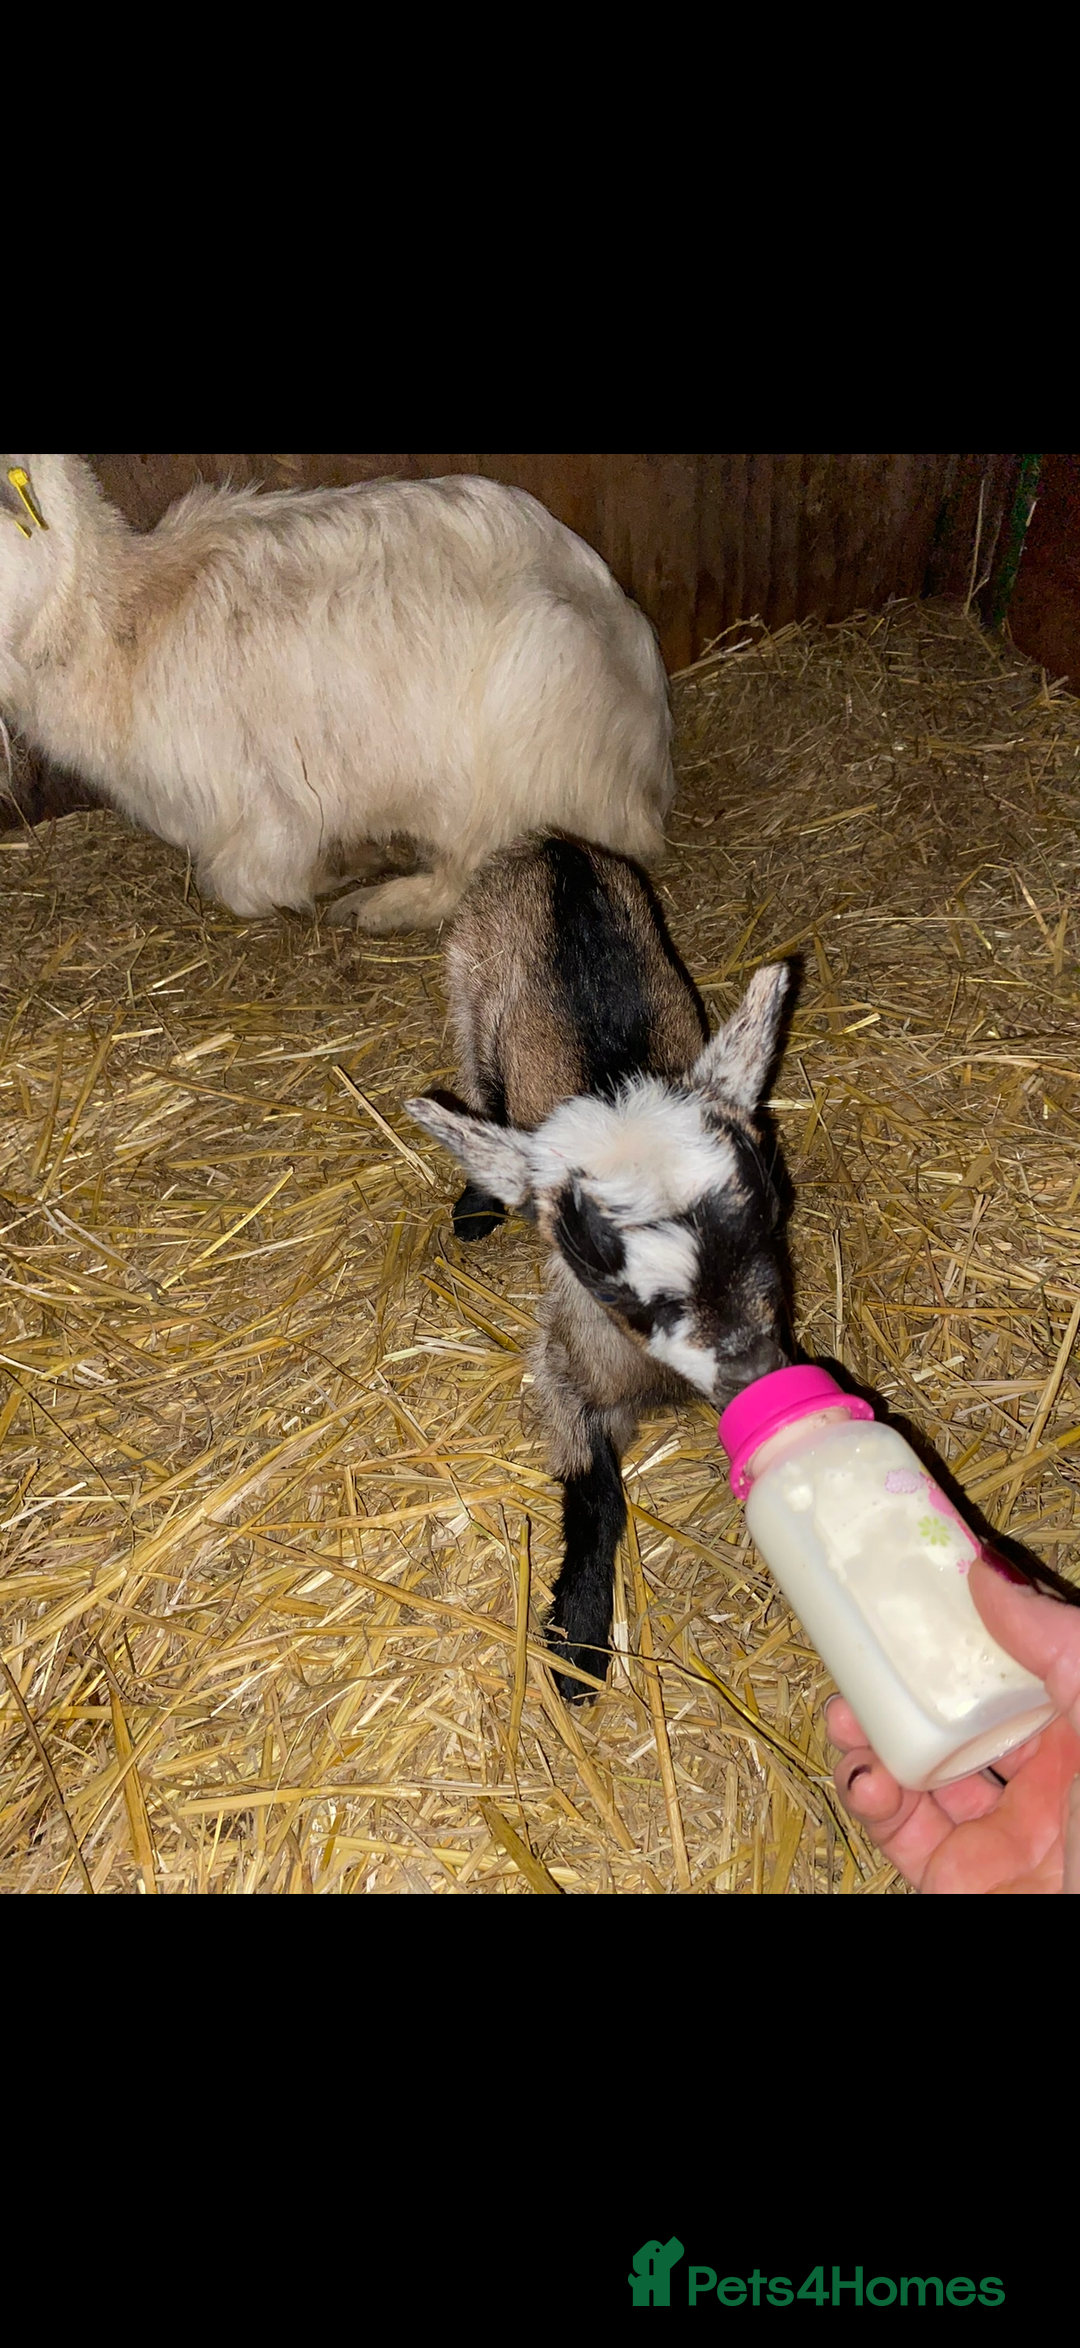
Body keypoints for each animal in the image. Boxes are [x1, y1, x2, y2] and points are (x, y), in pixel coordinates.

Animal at [0, 458, 674, 930]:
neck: (120, 623)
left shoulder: (271, 809)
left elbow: (244, 885)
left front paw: (339, 870)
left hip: (519, 731)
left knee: (480, 859)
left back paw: (386, 903)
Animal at [406, 836, 790, 1701]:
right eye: (604, 1273)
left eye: (767, 1208)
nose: (752, 1371)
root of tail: (553, 846)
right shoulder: (568, 1365)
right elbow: (597, 1495)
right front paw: (578, 1643)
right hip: (466, 986)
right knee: (477, 1082)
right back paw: (478, 1204)